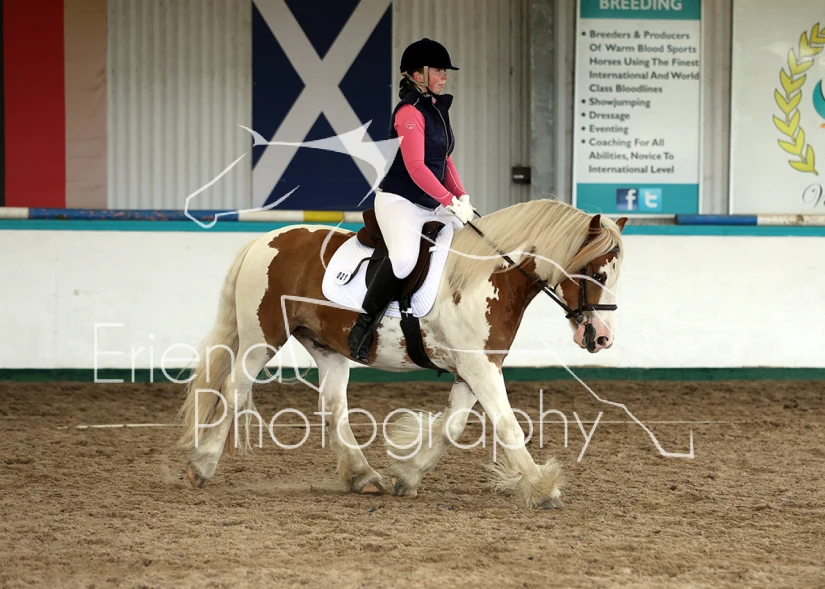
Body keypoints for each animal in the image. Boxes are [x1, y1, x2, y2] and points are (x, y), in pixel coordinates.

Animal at [177, 198, 627, 509]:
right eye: (595, 272)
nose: (602, 338)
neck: (488, 275)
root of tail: (264, 240)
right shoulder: (480, 367)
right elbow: (508, 426)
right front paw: (543, 488)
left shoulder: (474, 368)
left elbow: (452, 426)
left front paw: (408, 475)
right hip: (262, 338)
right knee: (234, 391)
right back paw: (202, 466)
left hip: (327, 347)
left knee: (333, 407)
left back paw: (363, 476)